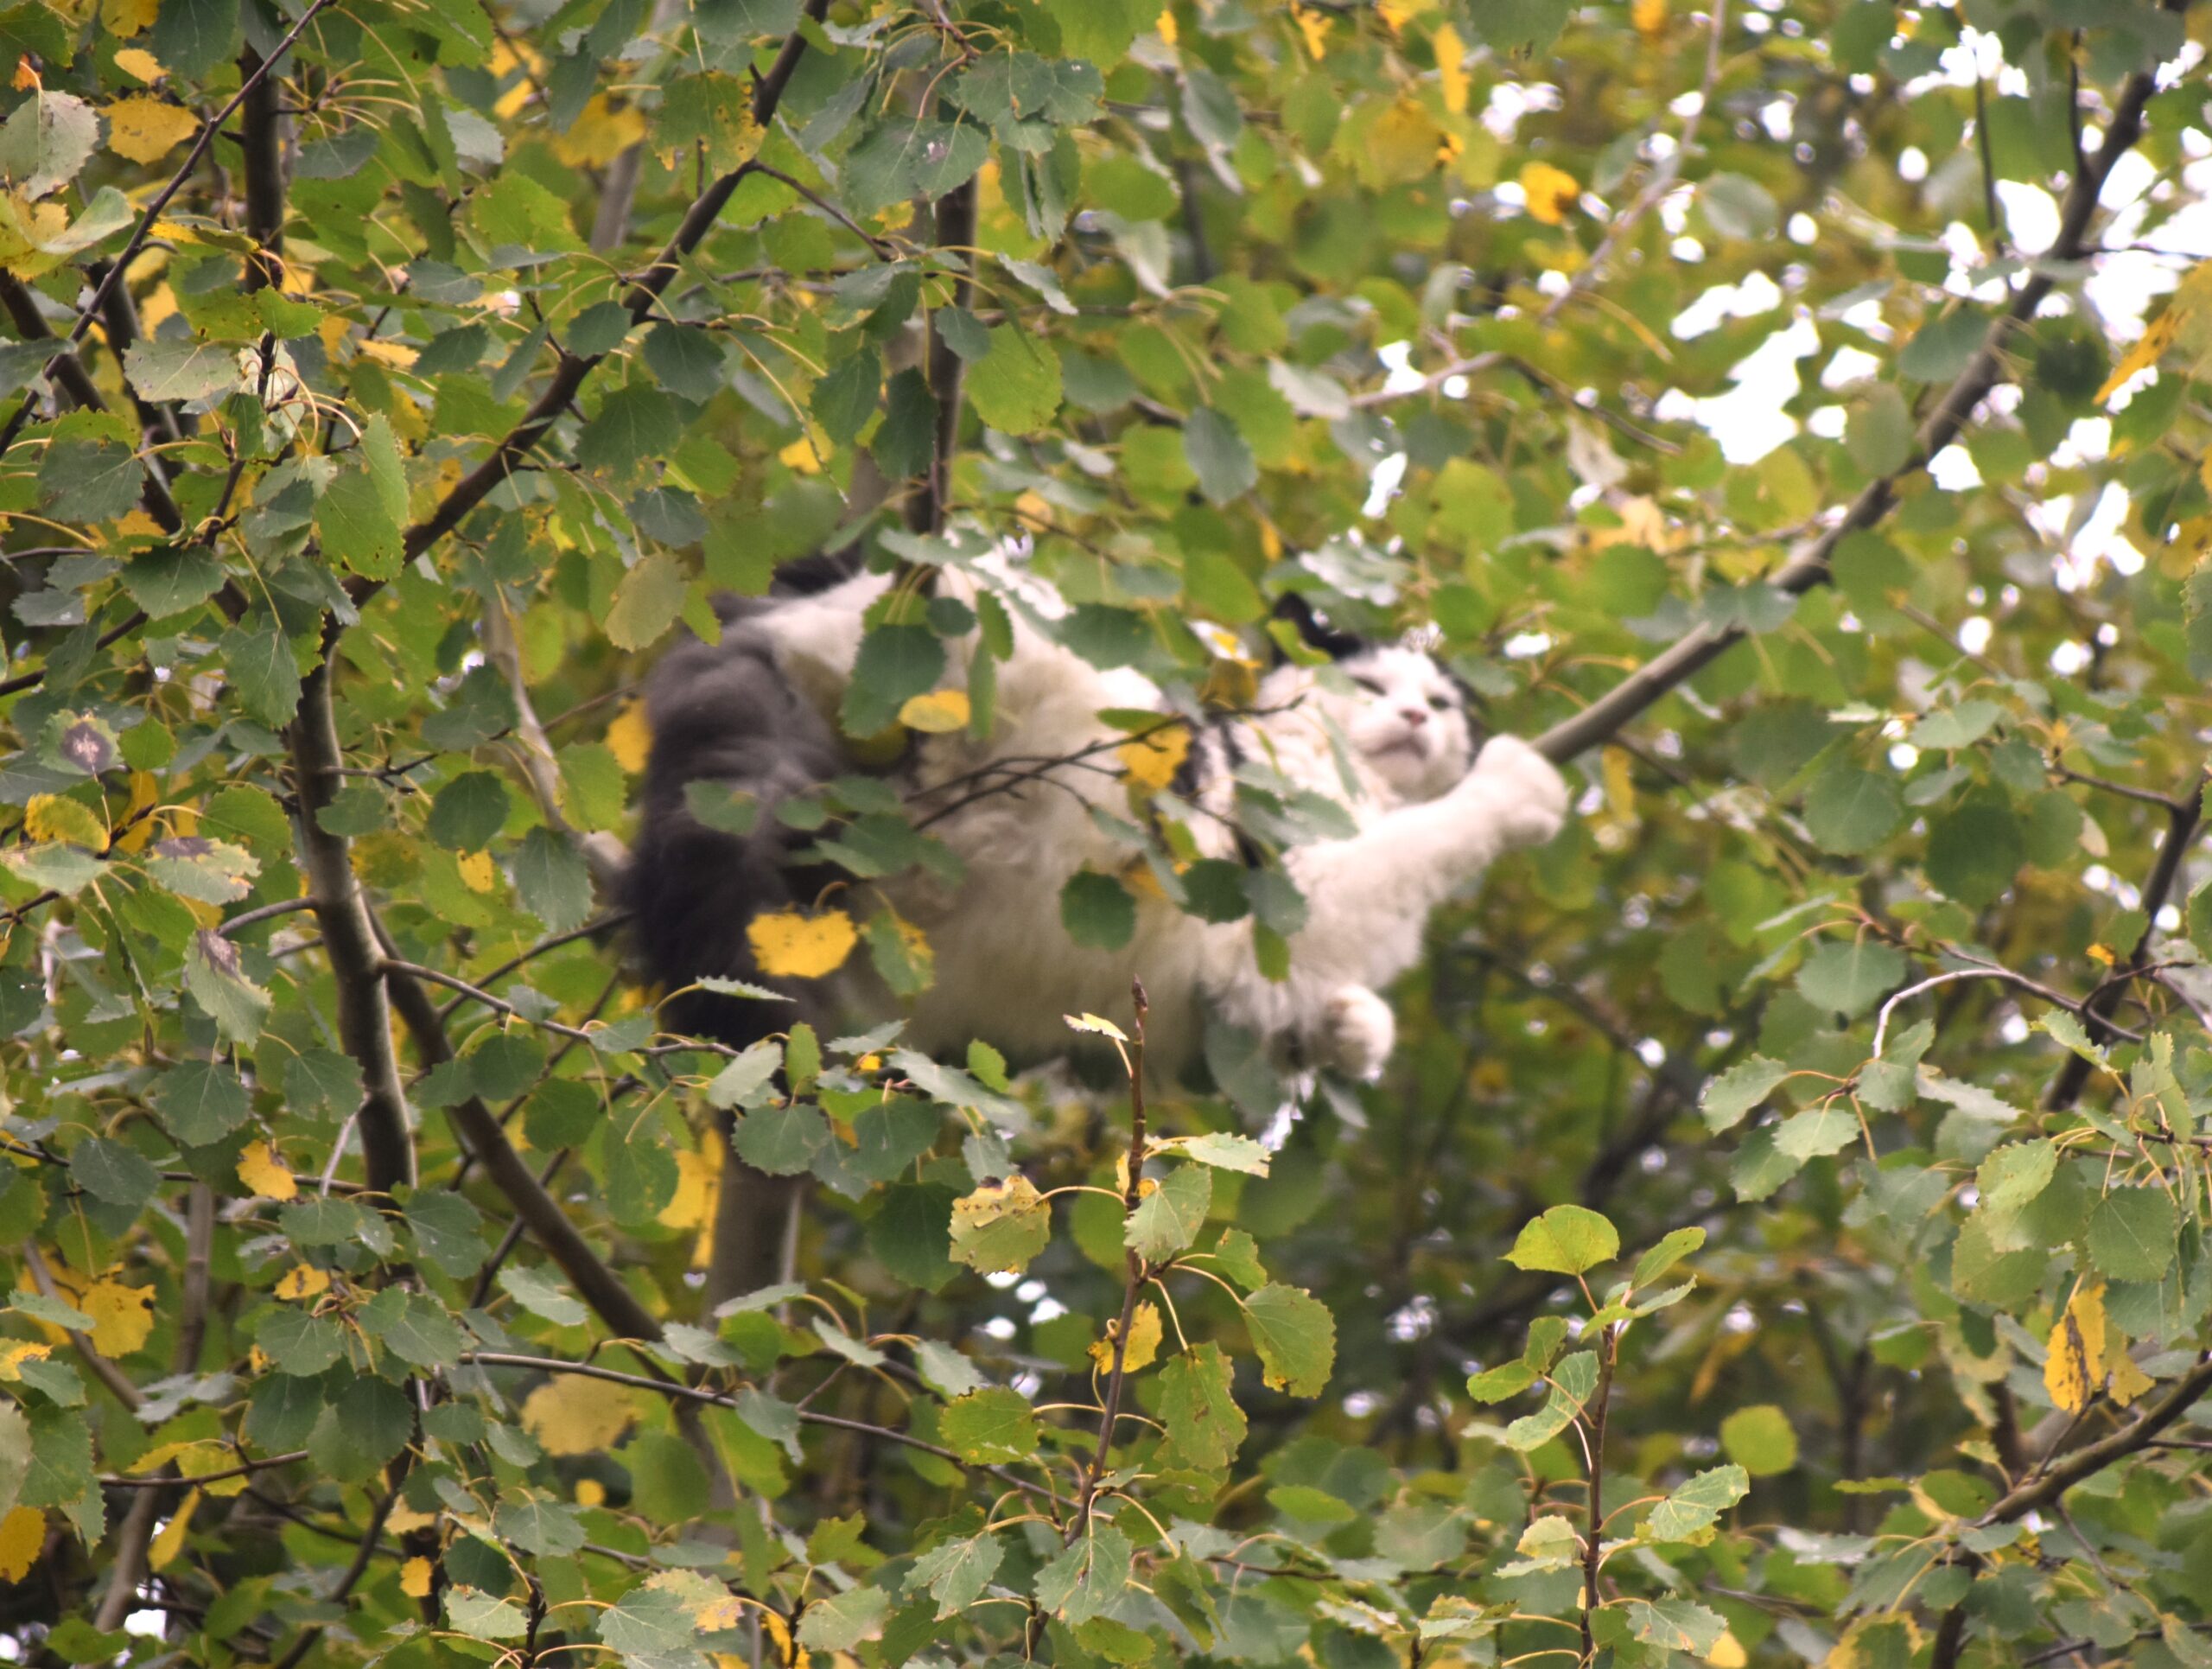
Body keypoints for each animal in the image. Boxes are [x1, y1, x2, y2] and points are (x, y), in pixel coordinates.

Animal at [614, 559, 1566, 1080]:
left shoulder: (1244, 978)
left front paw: (1352, 1028)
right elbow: (1429, 839)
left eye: (1440, 702)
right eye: (1369, 686)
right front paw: (1523, 784)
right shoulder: (1292, 889)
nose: (1413, 718)